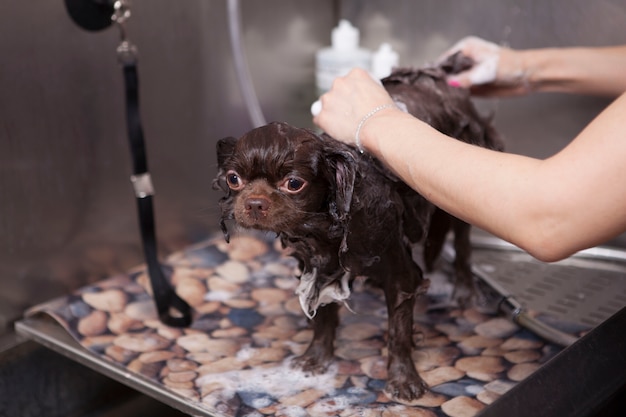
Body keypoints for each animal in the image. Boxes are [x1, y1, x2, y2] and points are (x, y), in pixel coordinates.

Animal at [212, 65, 500, 400]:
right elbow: (323, 318)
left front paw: (404, 380)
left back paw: (465, 291)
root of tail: (442, 75)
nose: (254, 203)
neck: (327, 230)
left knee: (464, 247)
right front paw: (316, 359)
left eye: (293, 183)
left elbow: (398, 332)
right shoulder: (317, 269)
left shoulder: (400, 276)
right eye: (233, 178)